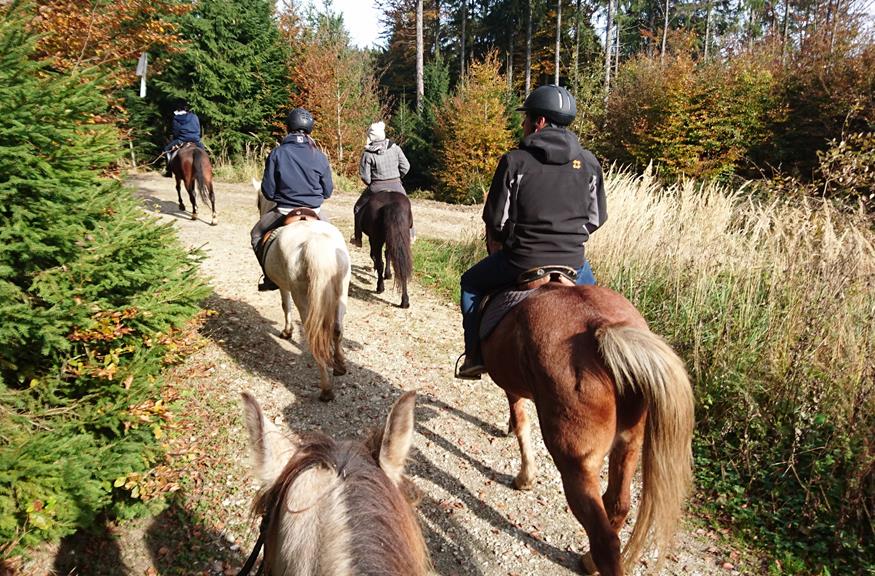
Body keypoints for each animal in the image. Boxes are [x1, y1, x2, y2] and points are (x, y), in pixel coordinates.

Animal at [255, 184, 350, 400]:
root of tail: (315, 241)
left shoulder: (283, 285)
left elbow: (285, 305)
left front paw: (287, 332)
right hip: (341, 293)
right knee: (337, 329)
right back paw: (340, 366)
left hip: (303, 298)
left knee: (314, 336)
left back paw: (326, 389)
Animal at [482, 278, 696, 572]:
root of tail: (602, 329)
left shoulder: (512, 387)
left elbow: (521, 421)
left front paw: (524, 477)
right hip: (628, 444)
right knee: (618, 504)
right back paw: (589, 559)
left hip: (576, 465)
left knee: (604, 539)